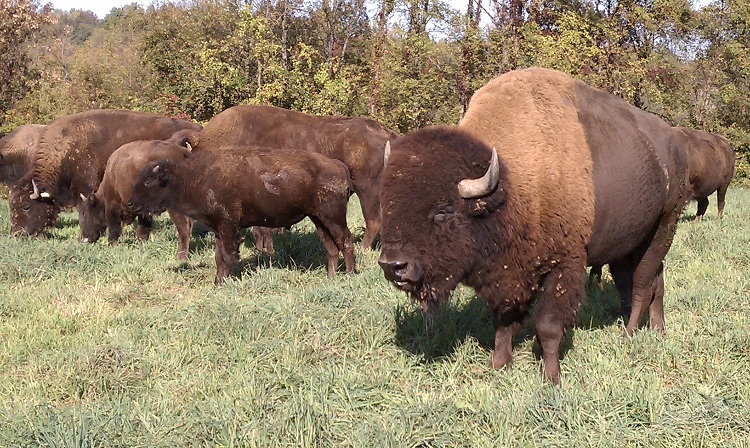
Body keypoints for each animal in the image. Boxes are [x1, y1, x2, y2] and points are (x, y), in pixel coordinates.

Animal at [129, 147, 356, 286]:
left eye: (148, 181)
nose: (130, 203)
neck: (193, 178)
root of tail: (339, 166)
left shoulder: (229, 227)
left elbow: (228, 256)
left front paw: (223, 282)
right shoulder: (219, 230)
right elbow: (219, 257)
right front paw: (217, 282)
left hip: (333, 217)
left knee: (346, 240)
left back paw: (350, 275)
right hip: (318, 219)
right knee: (331, 247)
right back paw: (331, 277)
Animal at [378, 68, 692, 384]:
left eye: (443, 212)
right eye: (387, 206)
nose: (393, 265)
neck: (510, 185)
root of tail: (673, 142)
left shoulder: (564, 266)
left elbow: (548, 326)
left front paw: (551, 377)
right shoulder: (509, 273)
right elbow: (503, 321)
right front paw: (500, 364)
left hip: (664, 227)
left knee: (642, 284)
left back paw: (629, 332)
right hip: (629, 244)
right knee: (651, 281)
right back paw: (657, 328)